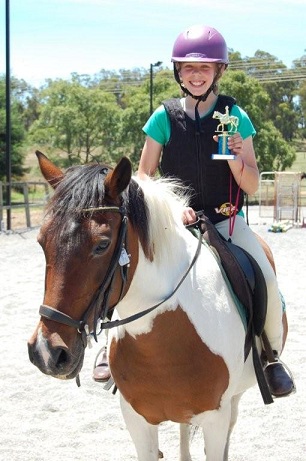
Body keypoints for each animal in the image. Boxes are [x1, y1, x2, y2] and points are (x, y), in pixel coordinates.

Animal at [28, 152, 284, 460]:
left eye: (102, 244)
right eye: (41, 241)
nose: (47, 352)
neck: (162, 340)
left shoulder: (216, 419)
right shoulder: (137, 420)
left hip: (235, 398)